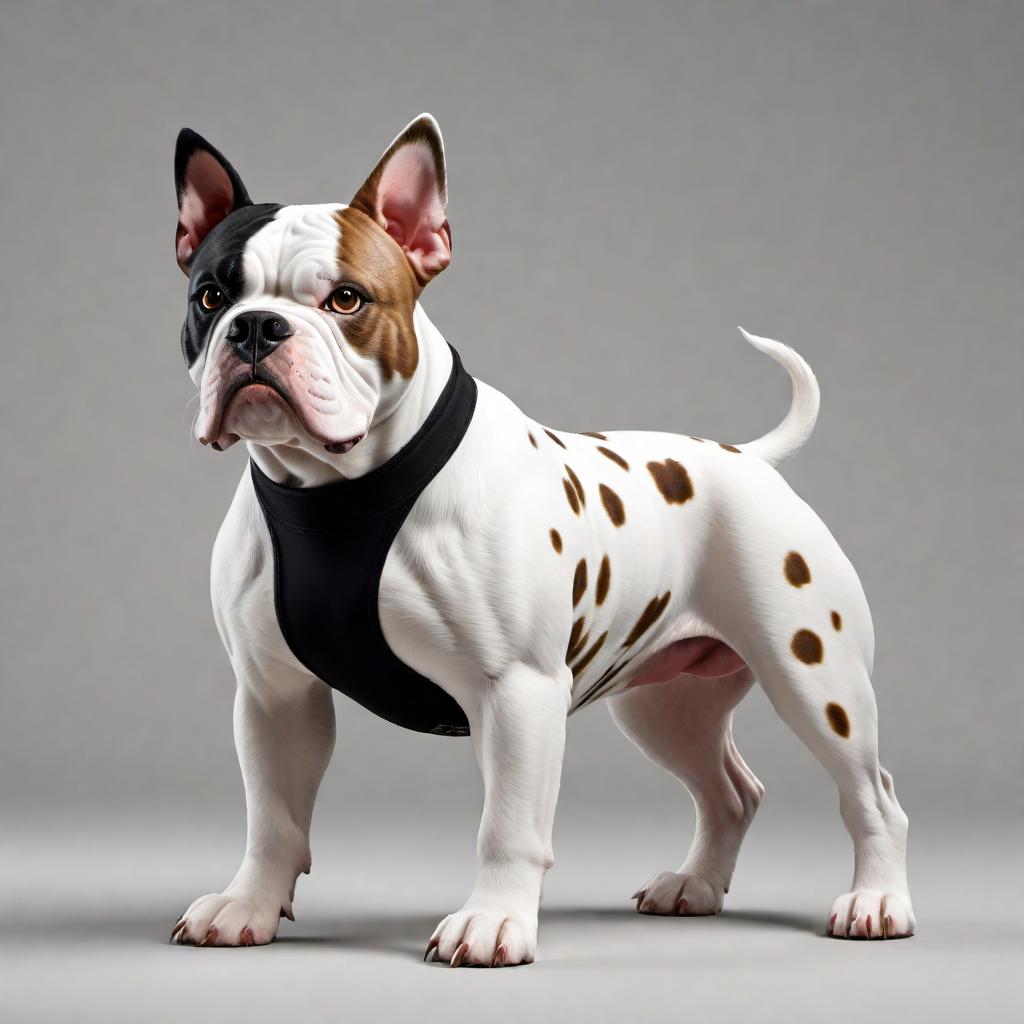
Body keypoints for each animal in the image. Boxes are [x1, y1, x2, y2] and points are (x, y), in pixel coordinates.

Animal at [169, 116, 921, 962]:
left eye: (346, 298)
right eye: (210, 296)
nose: (256, 328)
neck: (335, 489)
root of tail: (747, 458)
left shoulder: (517, 692)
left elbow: (508, 825)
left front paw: (493, 919)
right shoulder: (274, 696)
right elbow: (273, 816)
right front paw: (249, 905)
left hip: (816, 681)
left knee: (873, 795)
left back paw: (877, 901)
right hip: (665, 706)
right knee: (731, 792)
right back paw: (695, 887)